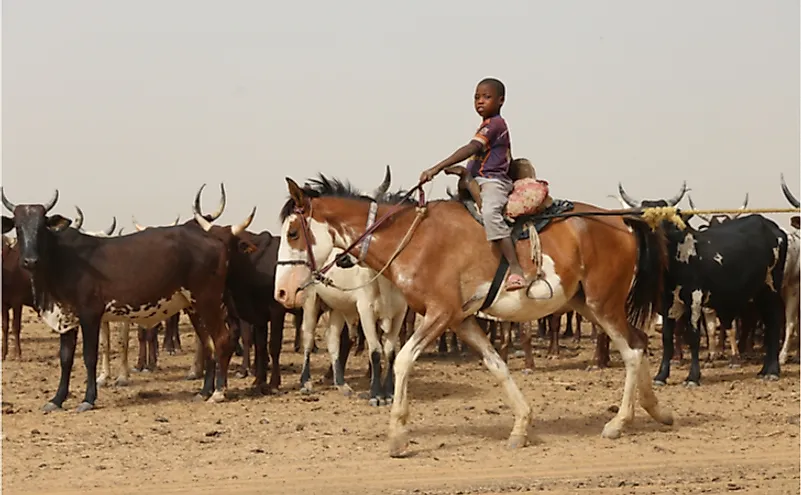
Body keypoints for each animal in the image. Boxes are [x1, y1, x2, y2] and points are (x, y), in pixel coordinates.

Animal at [0, 186, 253, 410]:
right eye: (18, 228)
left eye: (41, 227)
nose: (30, 261)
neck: (63, 258)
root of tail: (215, 240)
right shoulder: (66, 317)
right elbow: (65, 359)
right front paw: (57, 400)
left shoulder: (90, 315)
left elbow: (89, 356)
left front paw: (88, 399)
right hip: (193, 306)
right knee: (208, 344)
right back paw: (204, 391)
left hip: (208, 300)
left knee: (221, 339)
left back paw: (218, 392)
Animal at [276, 176, 676, 460]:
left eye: (293, 232)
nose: (281, 292)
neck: (413, 238)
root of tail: (623, 222)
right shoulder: (461, 319)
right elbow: (497, 366)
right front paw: (521, 427)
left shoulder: (439, 313)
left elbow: (403, 360)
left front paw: (397, 436)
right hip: (587, 304)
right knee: (639, 342)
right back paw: (657, 410)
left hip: (603, 302)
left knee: (632, 352)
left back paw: (619, 422)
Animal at [616, 182, 784, 388]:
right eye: (645, 218)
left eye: (667, 220)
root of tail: (772, 227)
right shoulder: (668, 303)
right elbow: (667, 338)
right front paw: (661, 376)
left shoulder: (695, 298)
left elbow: (694, 336)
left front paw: (692, 377)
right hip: (759, 291)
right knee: (768, 323)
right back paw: (764, 370)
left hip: (772, 287)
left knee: (774, 322)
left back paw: (773, 371)